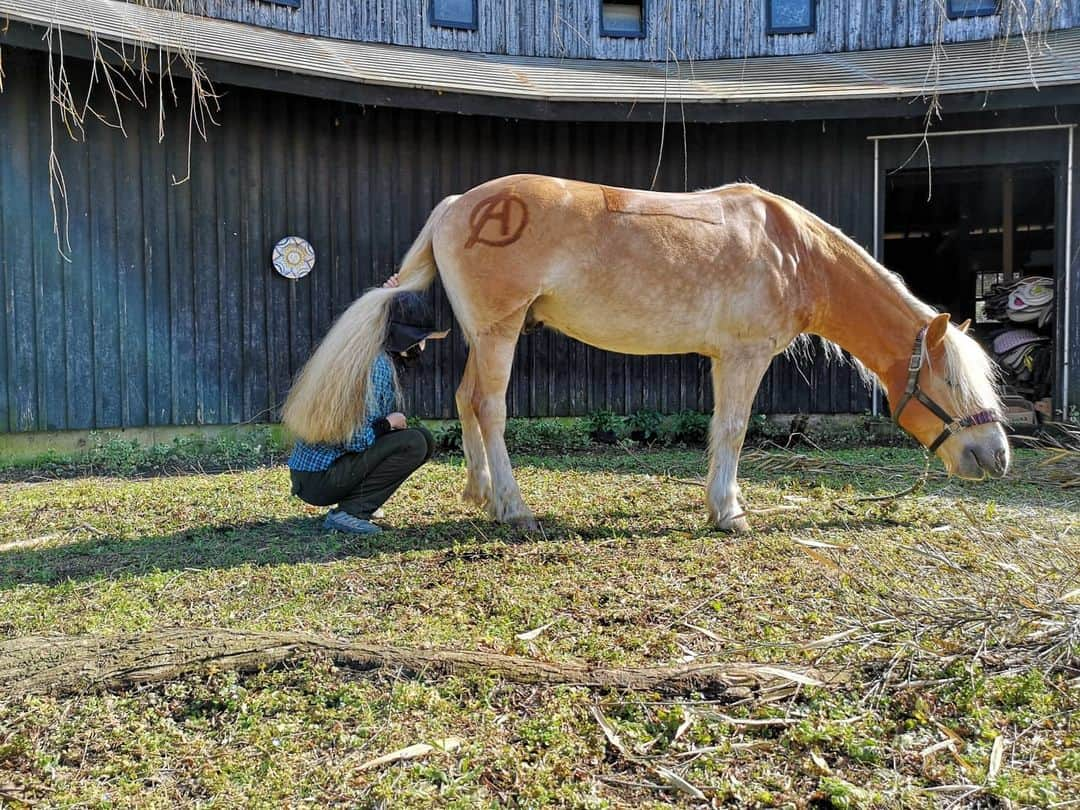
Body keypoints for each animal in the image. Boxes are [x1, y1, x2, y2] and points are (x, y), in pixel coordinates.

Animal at [282, 174, 1006, 535]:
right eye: (953, 381)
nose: (996, 458)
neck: (791, 251)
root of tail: (460, 205)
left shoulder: (723, 359)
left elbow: (718, 431)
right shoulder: (744, 356)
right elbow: (733, 431)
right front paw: (729, 513)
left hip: (487, 334)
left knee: (465, 401)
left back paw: (479, 493)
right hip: (499, 332)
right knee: (489, 407)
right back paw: (513, 509)